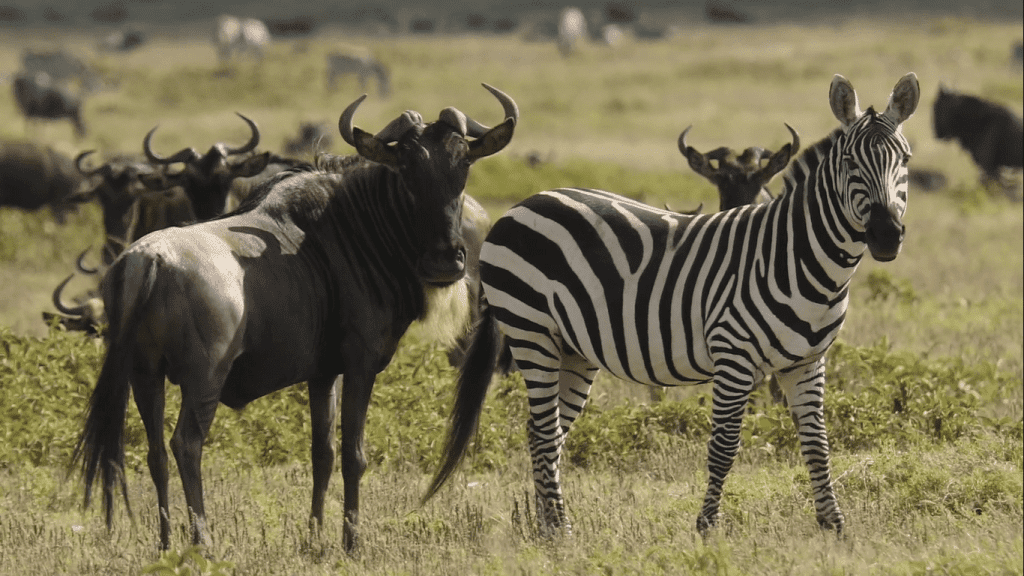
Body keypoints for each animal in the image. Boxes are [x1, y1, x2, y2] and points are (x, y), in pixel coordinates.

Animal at [428, 73, 925, 537]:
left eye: (905, 160)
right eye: (849, 161)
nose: (886, 235)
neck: (799, 257)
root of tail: (524, 204)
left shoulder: (807, 362)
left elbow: (818, 442)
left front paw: (833, 525)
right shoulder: (733, 356)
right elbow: (724, 446)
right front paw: (707, 526)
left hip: (573, 348)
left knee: (542, 431)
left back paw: (548, 526)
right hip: (531, 332)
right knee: (545, 429)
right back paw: (560, 529)